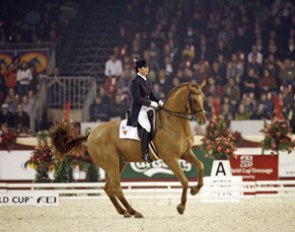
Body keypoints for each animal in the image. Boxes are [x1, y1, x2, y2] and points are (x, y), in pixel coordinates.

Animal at [50, 81, 208, 218]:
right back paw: (134, 211)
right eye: (194, 100)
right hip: (112, 164)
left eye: (203, 98)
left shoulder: (185, 153)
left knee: (108, 188)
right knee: (116, 188)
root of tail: (91, 134)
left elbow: (200, 166)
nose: (202, 121)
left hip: (119, 163)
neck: (174, 123)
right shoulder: (170, 158)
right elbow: (184, 181)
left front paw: (195, 190)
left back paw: (124, 211)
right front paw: (181, 207)